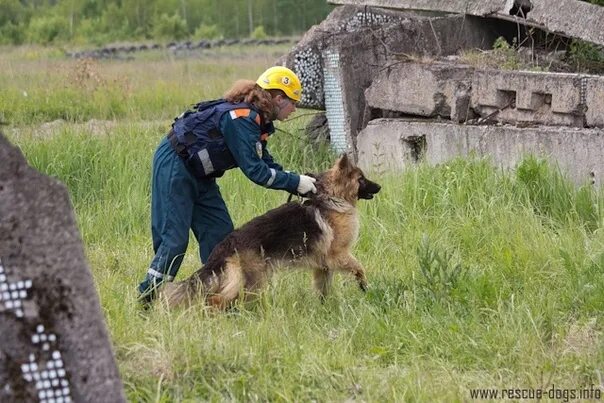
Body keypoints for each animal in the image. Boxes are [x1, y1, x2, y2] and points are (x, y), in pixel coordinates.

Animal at [159, 155, 378, 310]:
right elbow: (360, 269)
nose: (380, 186)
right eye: (361, 179)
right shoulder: (339, 255)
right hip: (252, 282)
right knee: (216, 300)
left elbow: (322, 289)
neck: (332, 197)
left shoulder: (322, 266)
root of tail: (226, 243)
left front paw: (324, 307)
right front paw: (365, 287)